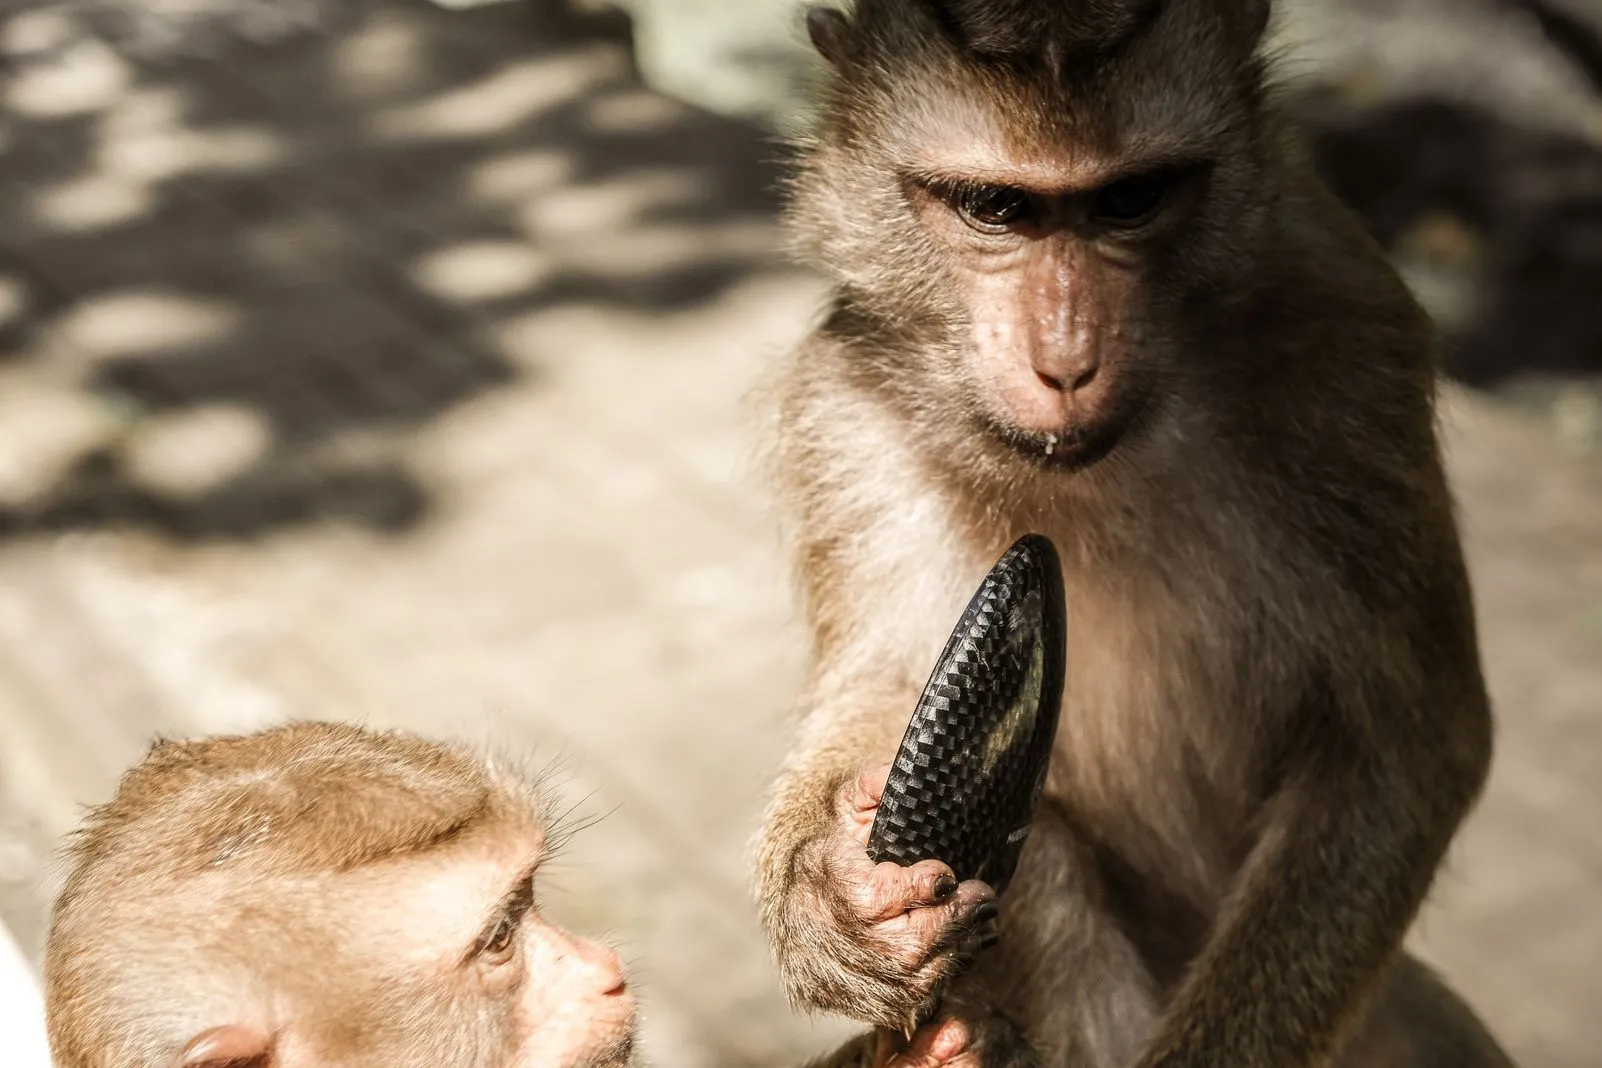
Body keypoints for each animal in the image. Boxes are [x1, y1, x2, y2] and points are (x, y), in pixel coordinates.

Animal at [753, 2, 1519, 1067]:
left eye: (1130, 201)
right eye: (996, 208)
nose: (1067, 362)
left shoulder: (1359, 363)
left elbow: (1405, 745)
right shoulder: (847, 405)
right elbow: (885, 680)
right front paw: (834, 882)